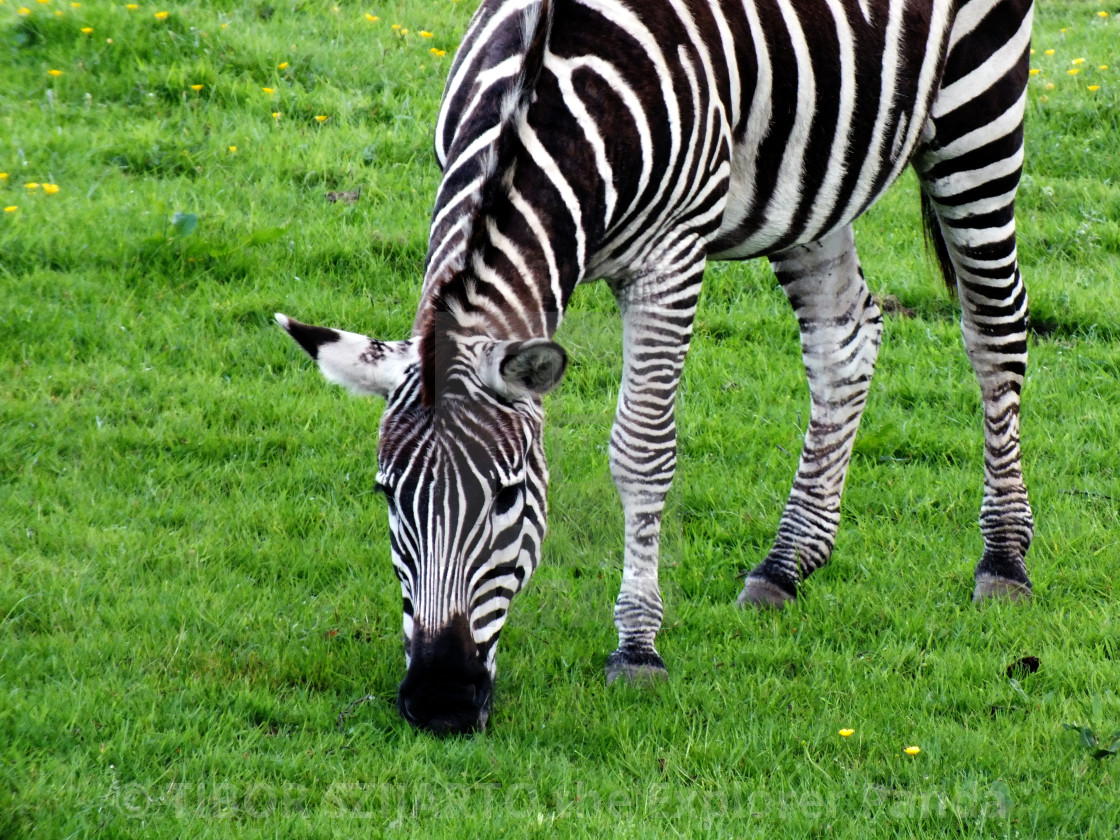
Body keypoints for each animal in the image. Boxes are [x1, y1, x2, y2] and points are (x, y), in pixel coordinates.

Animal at [275, 0, 1034, 734]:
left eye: (509, 498)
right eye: (387, 495)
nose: (440, 702)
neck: (540, 106)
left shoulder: (670, 257)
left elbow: (641, 452)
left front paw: (636, 648)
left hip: (978, 106)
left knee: (994, 326)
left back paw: (1003, 558)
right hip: (815, 166)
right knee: (842, 336)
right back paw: (786, 563)